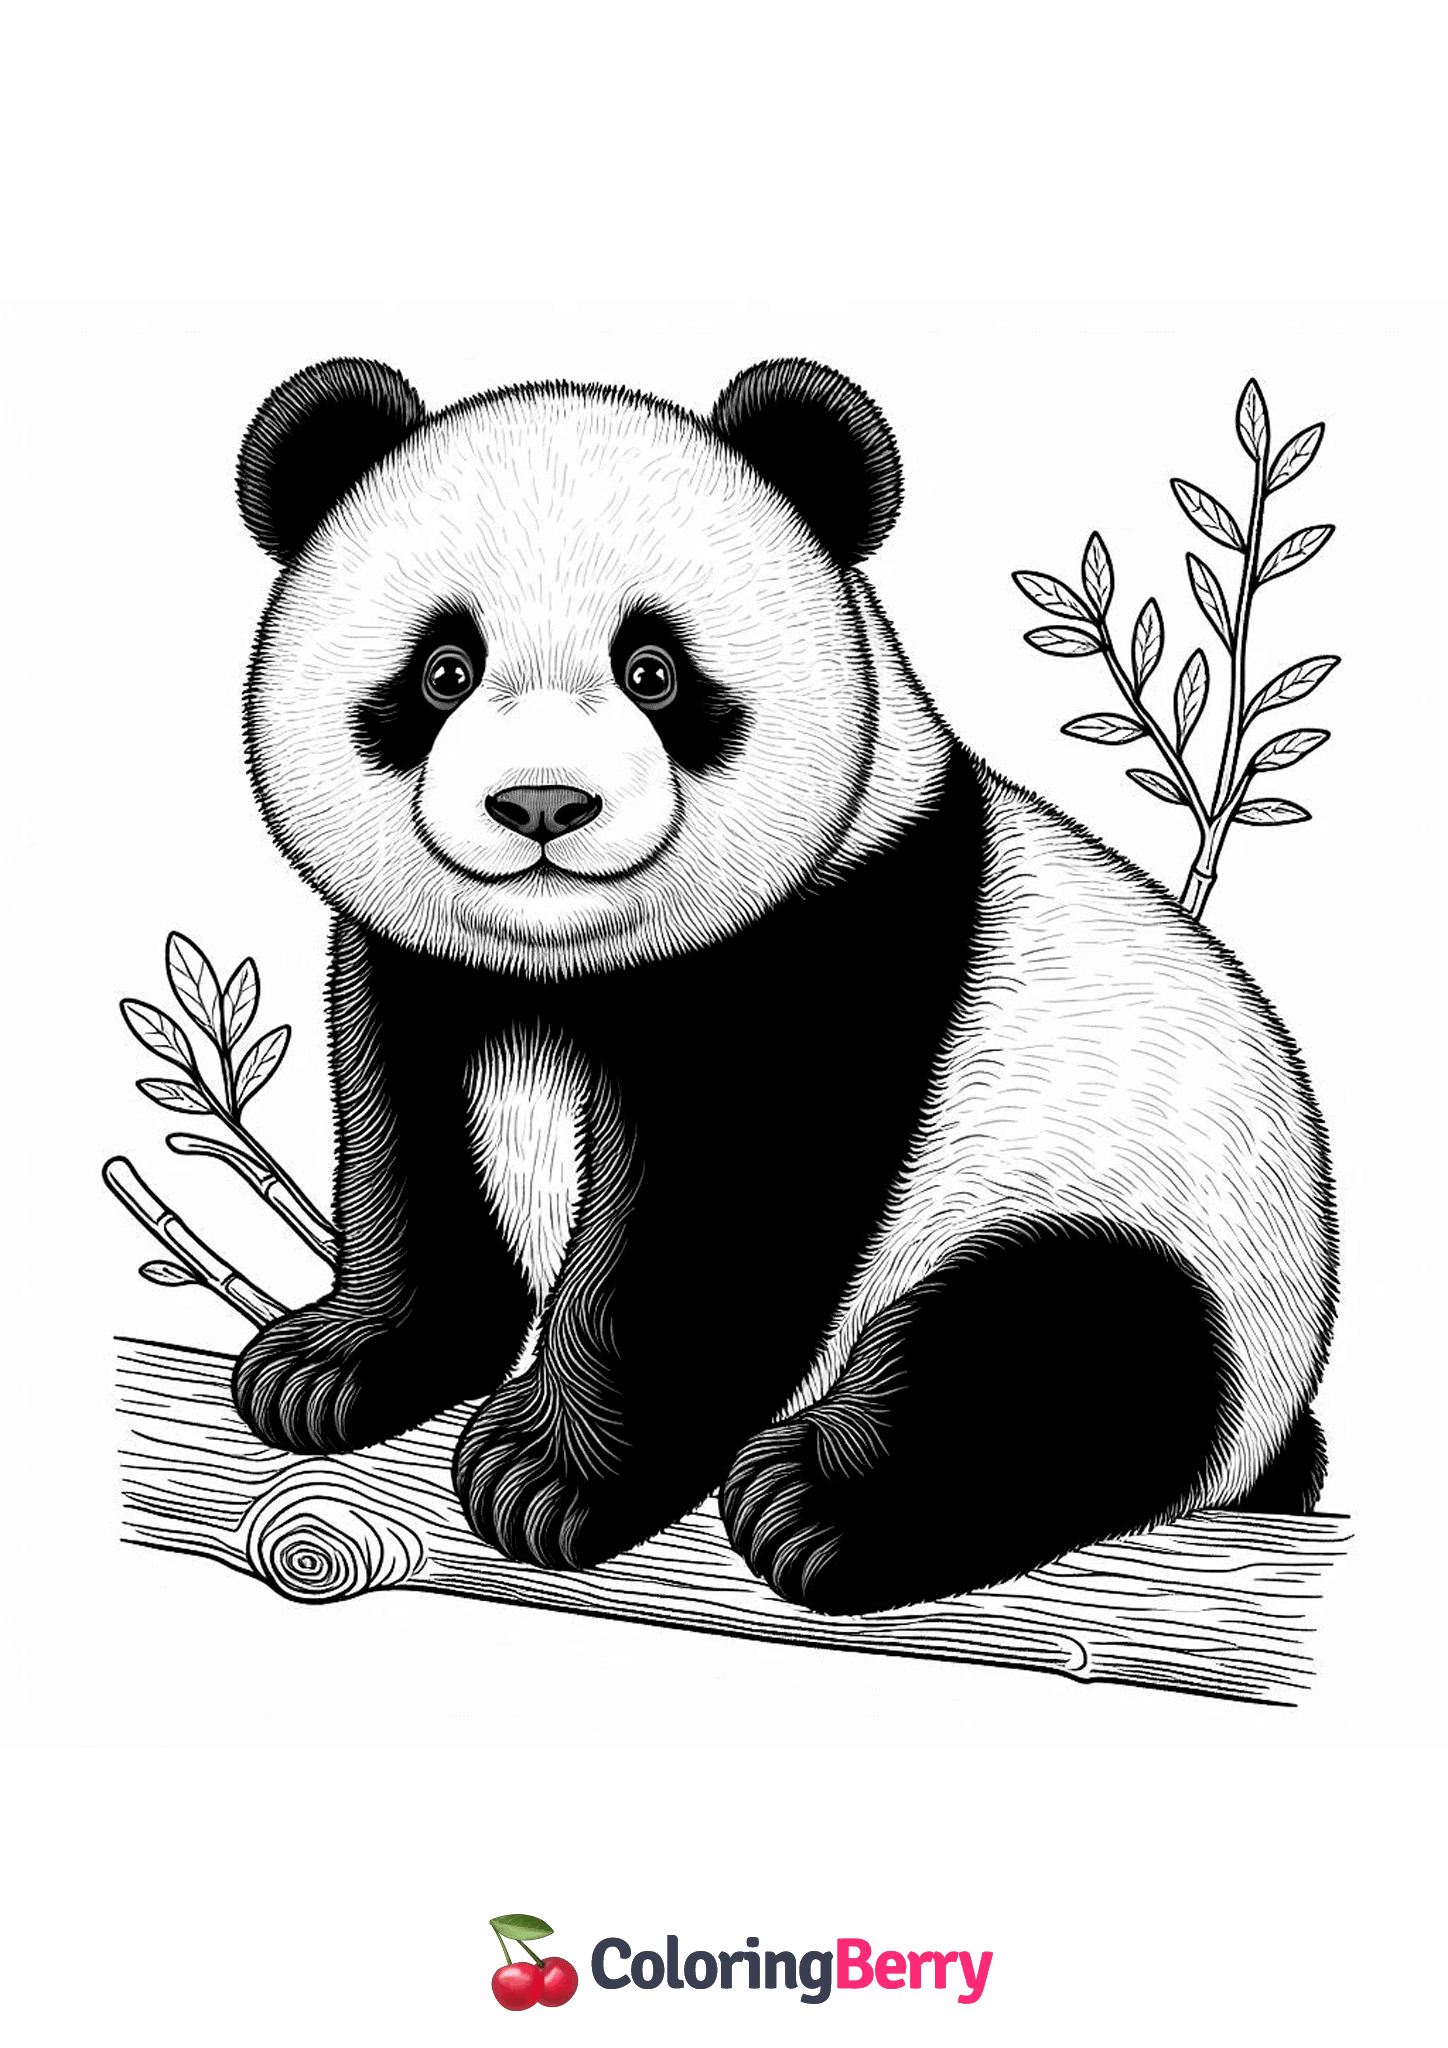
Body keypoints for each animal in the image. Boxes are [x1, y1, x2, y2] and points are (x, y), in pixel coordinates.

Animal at [233, 355, 1336, 1615]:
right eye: (442, 670)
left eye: (652, 671)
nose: (542, 803)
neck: (569, 960)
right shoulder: (422, 967)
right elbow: (409, 1152)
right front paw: (330, 1365)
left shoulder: (831, 942)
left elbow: (718, 1220)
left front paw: (550, 1473)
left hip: (1148, 1229)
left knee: (1060, 1348)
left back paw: (823, 1499)